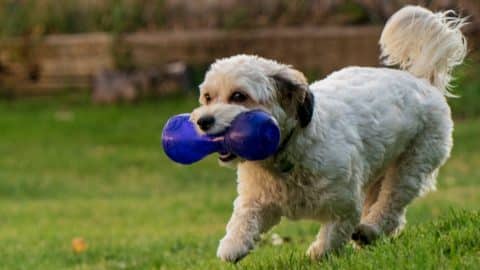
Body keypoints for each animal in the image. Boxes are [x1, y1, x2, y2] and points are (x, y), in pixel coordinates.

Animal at [189, 5, 466, 262]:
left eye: (239, 96)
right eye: (208, 97)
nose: (203, 121)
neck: (287, 151)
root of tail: (422, 81)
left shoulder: (345, 205)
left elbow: (333, 235)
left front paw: (318, 254)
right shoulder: (258, 200)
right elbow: (244, 218)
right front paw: (233, 245)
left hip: (413, 163)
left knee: (392, 202)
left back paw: (370, 230)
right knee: (393, 214)